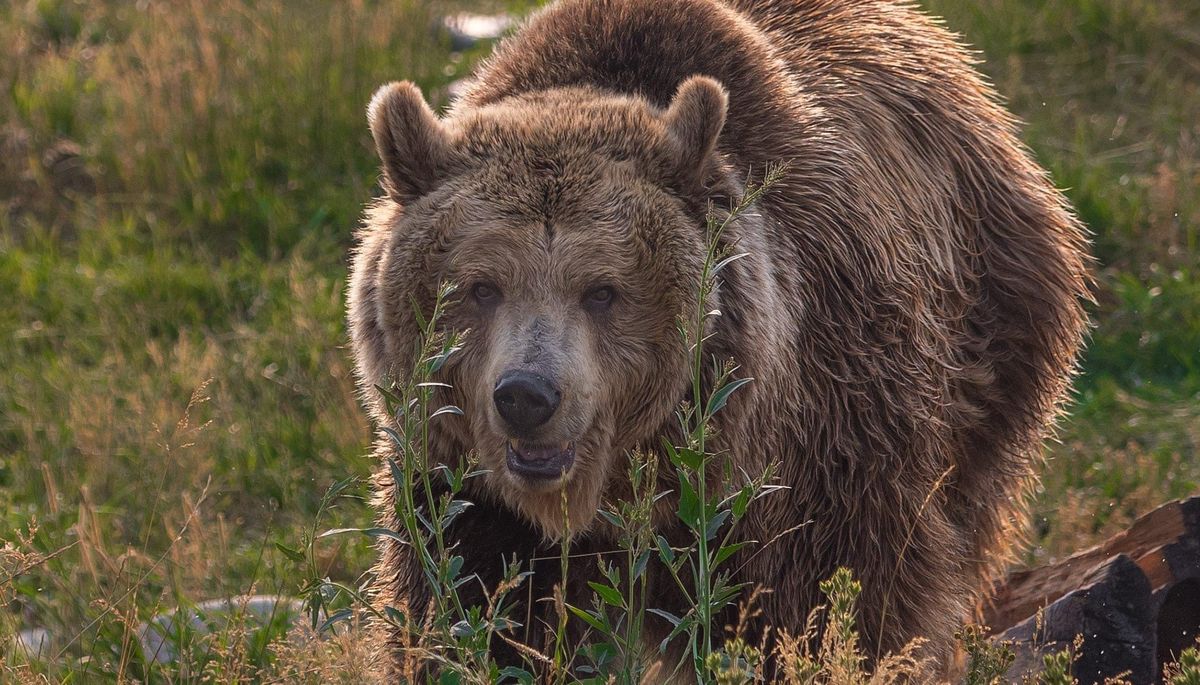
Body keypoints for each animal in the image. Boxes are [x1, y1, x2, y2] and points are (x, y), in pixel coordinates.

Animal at [345, 0, 1089, 676]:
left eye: (603, 290)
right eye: (480, 286)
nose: (527, 395)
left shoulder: (824, 433)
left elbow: (831, 600)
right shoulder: (458, 483)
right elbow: (475, 606)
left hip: (991, 338)